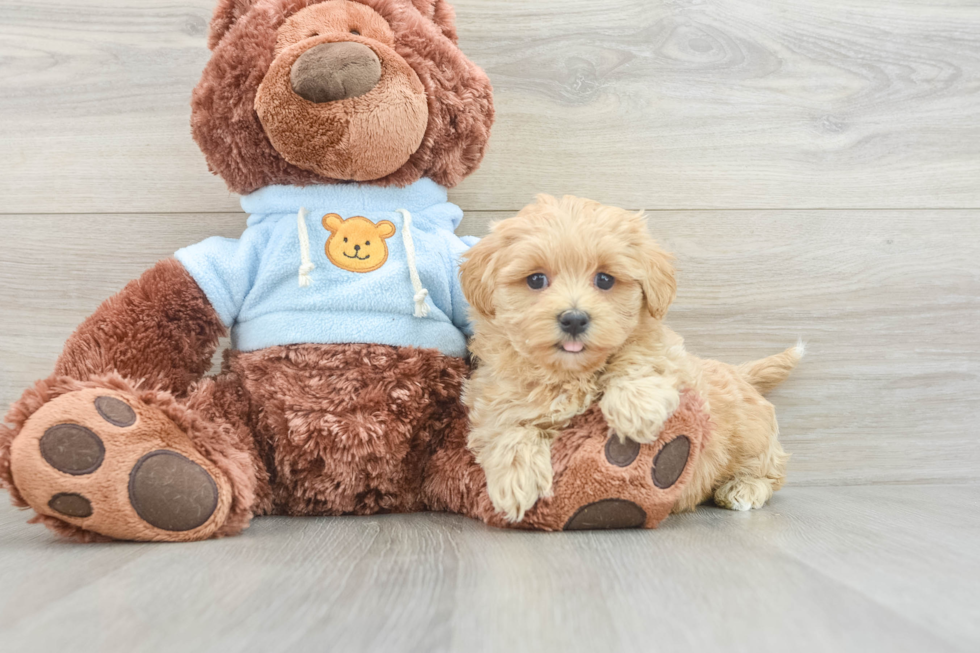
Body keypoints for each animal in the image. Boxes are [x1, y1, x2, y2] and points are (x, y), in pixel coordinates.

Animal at [458, 196, 796, 524]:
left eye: (605, 280)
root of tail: (740, 374)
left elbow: (641, 353)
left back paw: (743, 488)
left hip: (751, 437)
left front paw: (636, 410)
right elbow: (506, 427)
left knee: (771, 473)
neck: (572, 374)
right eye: (536, 280)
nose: (574, 319)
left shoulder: (673, 358)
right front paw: (516, 481)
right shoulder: (492, 398)